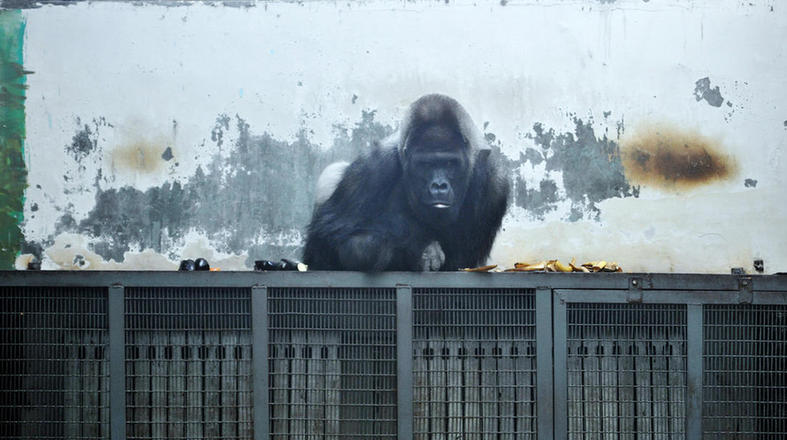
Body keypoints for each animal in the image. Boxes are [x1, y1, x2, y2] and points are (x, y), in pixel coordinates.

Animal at [302, 94, 510, 270]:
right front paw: (419, 248)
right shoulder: (373, 165)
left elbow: (461, 260)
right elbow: (332, 239)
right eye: (425, 165)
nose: (439, 186)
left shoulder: (495, 184)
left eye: (450, 163)